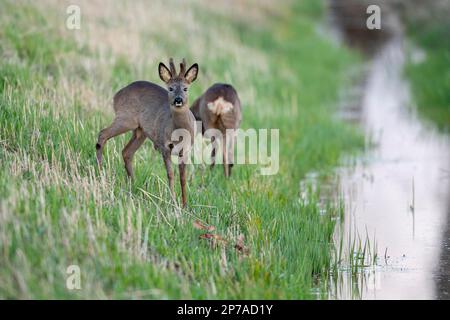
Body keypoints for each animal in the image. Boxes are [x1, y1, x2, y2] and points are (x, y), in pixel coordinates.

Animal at [96, 58, 198, 206]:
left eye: (186, 88)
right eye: (170, 88)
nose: (178, 100)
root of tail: (116, 96)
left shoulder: (185, 149)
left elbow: (183, 177)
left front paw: (185, 205)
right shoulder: (164, 146)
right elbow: (170, 174)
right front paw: (173, 201)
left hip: (140, 131)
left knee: (126, 152)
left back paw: (134, 185)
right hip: (126, 119)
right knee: (103, 134)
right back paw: (100, 172)